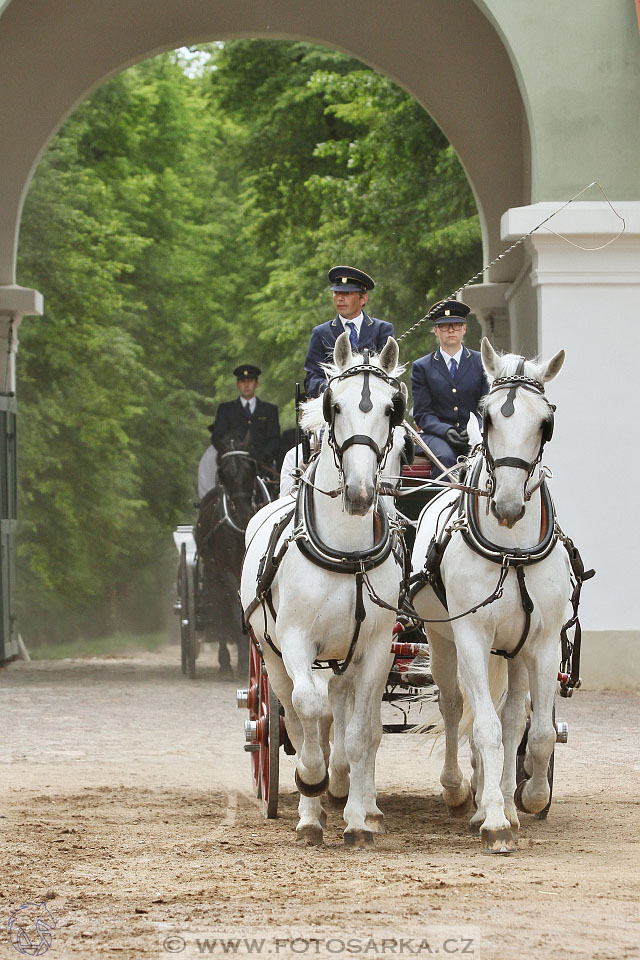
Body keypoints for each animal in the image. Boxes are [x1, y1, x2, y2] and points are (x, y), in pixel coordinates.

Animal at [191, 432, 268, 680]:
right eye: (223, 472)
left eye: (251, 467)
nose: (244, 513)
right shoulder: (226, 572)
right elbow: (234, 613)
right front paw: (243, 661)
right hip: (212, 573)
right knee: (220, 609)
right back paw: (225, 662)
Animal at [240, 334, 404, 844]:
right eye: (334, 405)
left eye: (392, 408)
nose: (360, 493)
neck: (348, 552)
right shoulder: (295, 640)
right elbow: (307, 708)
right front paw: (312, 786)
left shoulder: (375, 648)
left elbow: (360, 733)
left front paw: (356, 820)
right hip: (272, 655)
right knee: (295, 713)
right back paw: (310, 805)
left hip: (342, 659)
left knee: (344, 718)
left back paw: (348, 795)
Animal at [412, 340, 572, 856]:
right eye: (487, 418)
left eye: (545, 422)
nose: (506, 506)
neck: (512, 549)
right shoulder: (472, 638)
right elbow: (482, 727)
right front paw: (496, 822)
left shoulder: (543, 644)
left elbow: (536, 732)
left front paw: (529, 797)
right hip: (446, 644)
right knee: (454, 709)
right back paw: (463, 793)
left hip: (514, 652)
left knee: (513, 718)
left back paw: (496, 797)